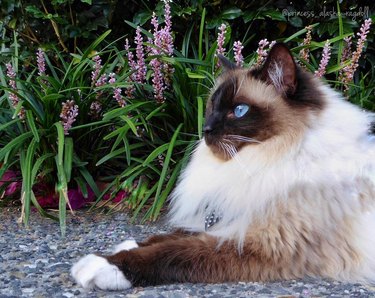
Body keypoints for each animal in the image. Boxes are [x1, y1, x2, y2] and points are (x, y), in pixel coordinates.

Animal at [70, 43, 375, 290]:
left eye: (239, 111)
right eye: (212, 107)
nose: (205, 130)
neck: (271, 156)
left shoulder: (262, 242)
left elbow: (176, 250)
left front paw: (102, 265)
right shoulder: (234, 210)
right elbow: (173, 235)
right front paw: (124, 245)